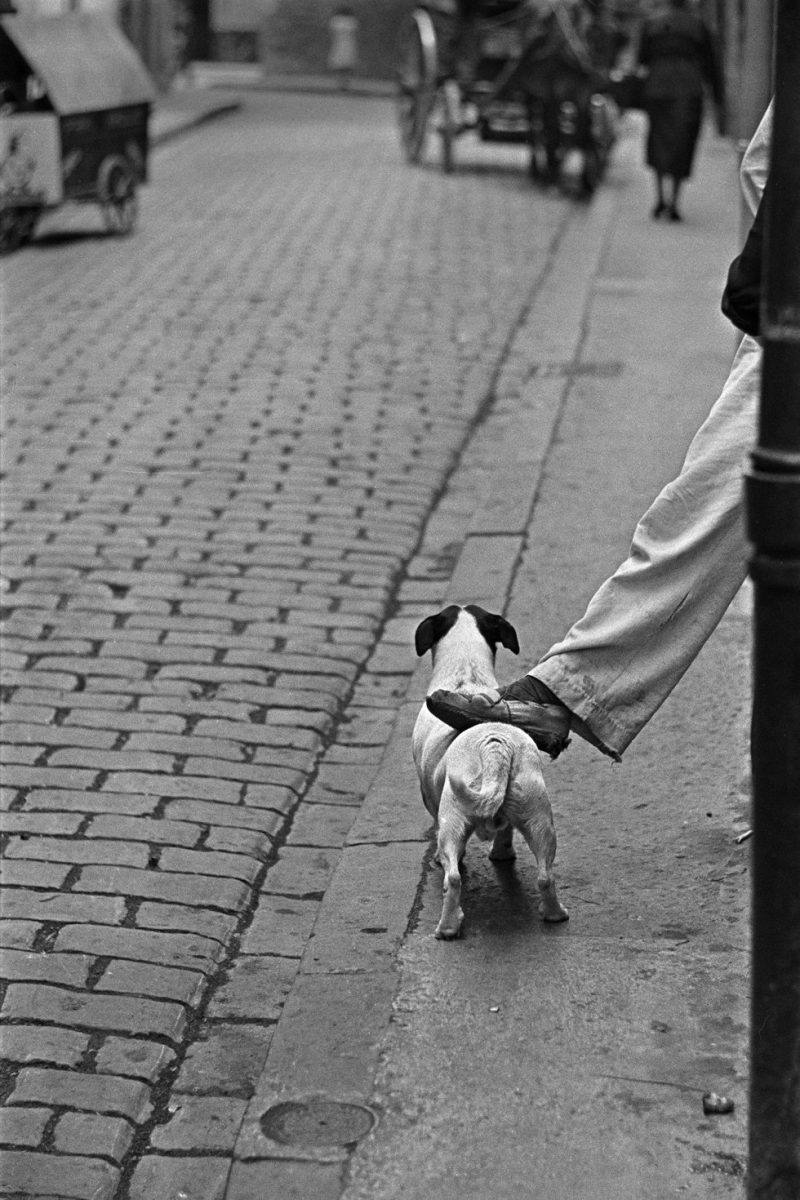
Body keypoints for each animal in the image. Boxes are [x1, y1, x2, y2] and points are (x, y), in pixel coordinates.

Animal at [412, 604, 568, 940]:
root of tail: (495, 746)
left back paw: (448, 927)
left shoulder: (432, 801)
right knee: (545, 876)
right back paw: (554, 913)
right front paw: (502, 852)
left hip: (453, 821)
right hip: (539, 818)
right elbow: (505, 832)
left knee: (453, 877)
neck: (466, 676)